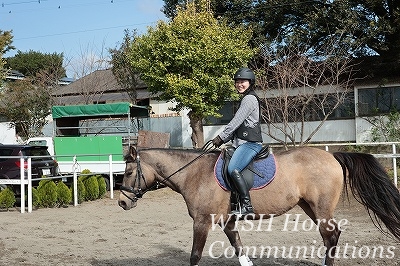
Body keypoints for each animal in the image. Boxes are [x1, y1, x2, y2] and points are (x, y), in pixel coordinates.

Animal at [117, 145, 400, 266]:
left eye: (129, 172)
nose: (121, 202)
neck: (194, 173)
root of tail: (331, 155)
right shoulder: (228, 221)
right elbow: (240, 249)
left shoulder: (202, 222)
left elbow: (195, 255)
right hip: (309, 207)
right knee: (330, 235)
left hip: (320, 208)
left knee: (330, 236)